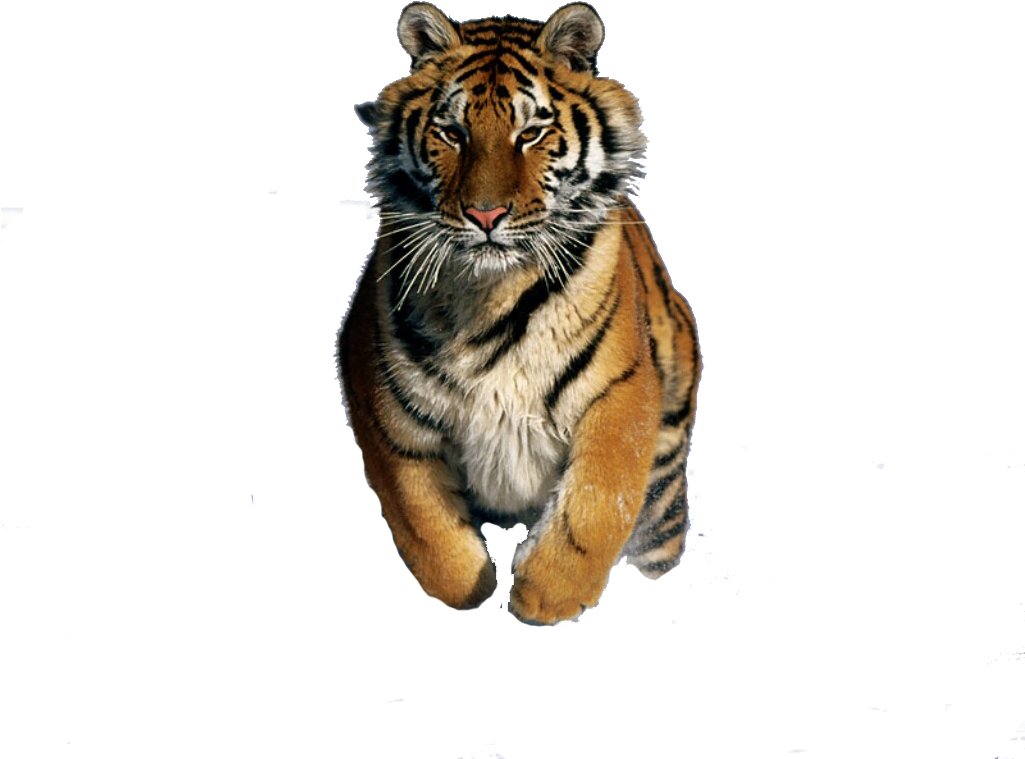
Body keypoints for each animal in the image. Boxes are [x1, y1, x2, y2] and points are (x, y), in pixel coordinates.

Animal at [336, 2, 701, 625]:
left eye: (530, 133)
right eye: (452, 133)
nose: (485, 215)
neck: (491, 292)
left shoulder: (622, 392)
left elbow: (597, 503)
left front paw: (544, 597)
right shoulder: (381, 400)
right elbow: (424, 521)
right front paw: (470, 587)